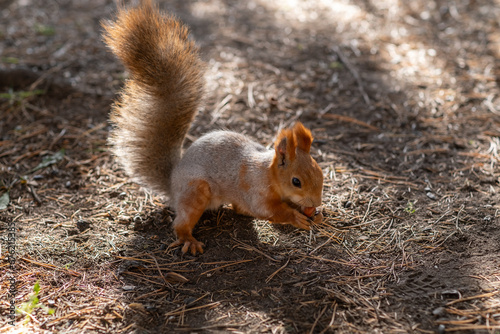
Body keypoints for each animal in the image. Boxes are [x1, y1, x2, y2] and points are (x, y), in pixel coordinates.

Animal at [101, 0, 324, 256]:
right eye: (296, 181)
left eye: (320, 172)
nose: (316, 202)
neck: (268, 173)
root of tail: (173, 185)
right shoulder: (255, 190)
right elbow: (269, 210)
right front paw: (296, 217)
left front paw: (315, 215)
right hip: (196, 191)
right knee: (182, 222)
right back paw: (189, 239)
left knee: (238, 209)